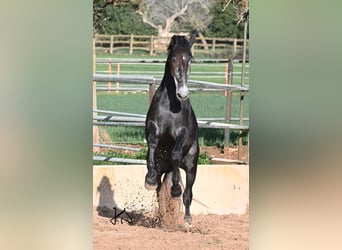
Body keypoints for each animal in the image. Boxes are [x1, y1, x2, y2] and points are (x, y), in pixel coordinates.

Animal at [145, 34, 199, 228]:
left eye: (190, 59)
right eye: (173, 59)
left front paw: (175, 189)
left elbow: (175, 154)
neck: (171, 104)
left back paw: (188, 220)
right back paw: (162, 216)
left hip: (191, 168)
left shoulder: (181, 133)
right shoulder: (153, 127)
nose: (183, 94)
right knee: (159, 191)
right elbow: (153, 143)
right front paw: (149, 179)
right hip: (163, 167)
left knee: (188, 193)